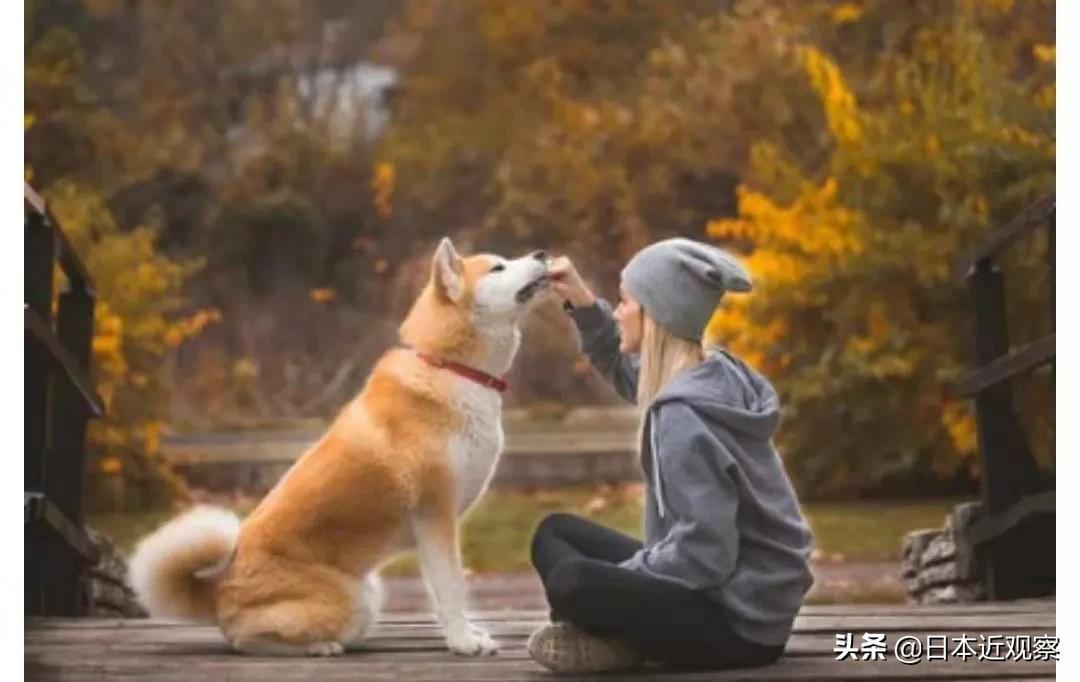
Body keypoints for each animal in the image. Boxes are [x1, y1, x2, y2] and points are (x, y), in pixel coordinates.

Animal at [127, 238, 552, 657]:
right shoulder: (436, 515)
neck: (449, 367)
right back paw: (320, 646)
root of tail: (217, 592)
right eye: (498, 267)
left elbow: (443, 590)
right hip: (352, 602)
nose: (542, 253)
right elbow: (451, 588)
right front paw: (464, 643)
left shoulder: (436, 526)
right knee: (247, 640)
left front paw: (465, 634)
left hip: (370, 590)